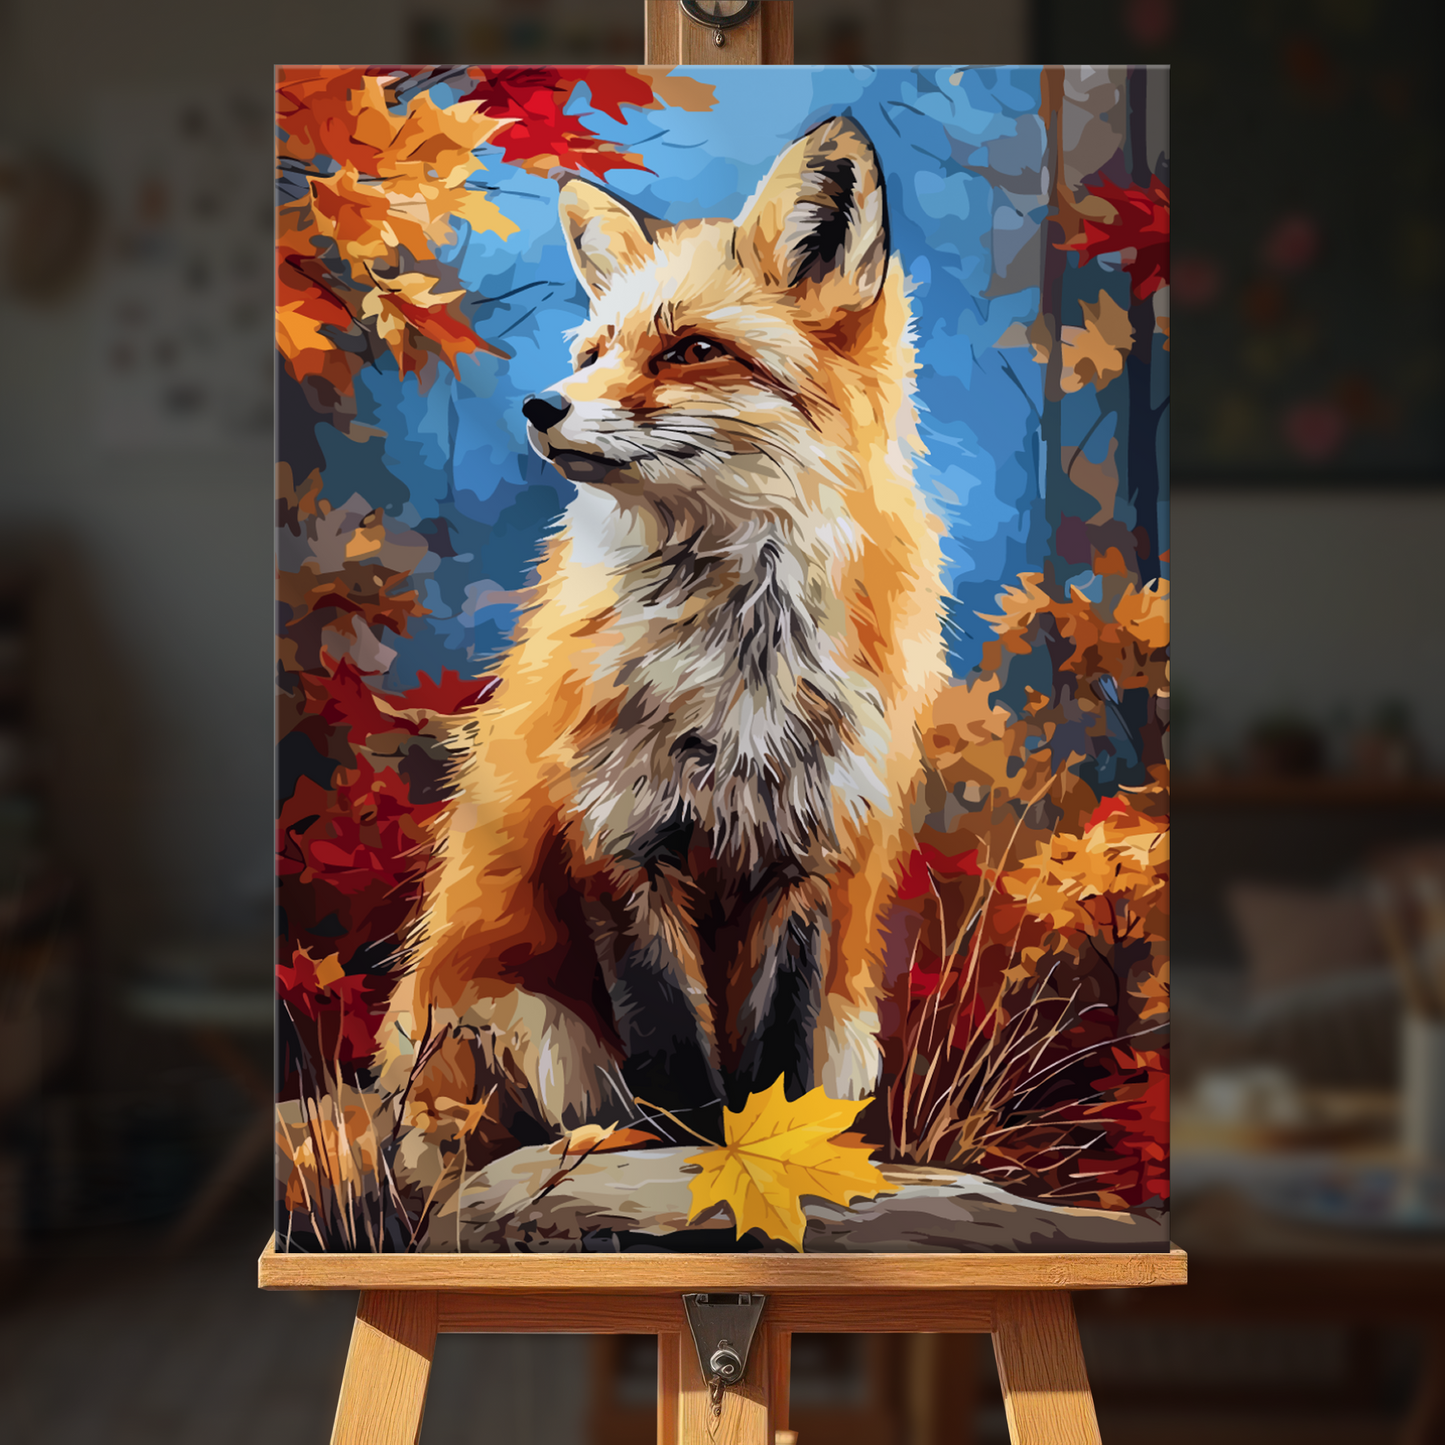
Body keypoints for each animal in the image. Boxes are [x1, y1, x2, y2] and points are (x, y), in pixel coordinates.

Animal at [374, 115, 947, 1190]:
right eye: (595, 350)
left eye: (691, 350)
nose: (539, 406)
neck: (737, 664)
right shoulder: (617, 834)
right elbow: (673, 1040)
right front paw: (695, 1148)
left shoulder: (805, 851)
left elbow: (773, 1056)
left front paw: (772, 1152)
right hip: (527, 1031)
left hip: (853, 1037)